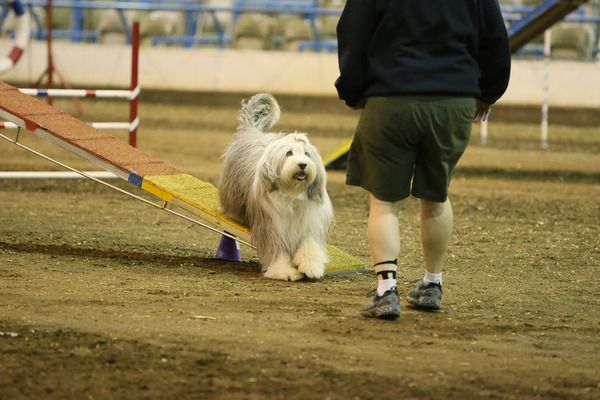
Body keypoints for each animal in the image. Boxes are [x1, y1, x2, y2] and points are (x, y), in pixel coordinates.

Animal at [218, 93, 334, 281]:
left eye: (306, 154)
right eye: (289, 153)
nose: (302, 165)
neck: (292, 194)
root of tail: (251, 131)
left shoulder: (309, 223)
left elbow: (309, 243)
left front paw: (311, 266)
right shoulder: (272, 226)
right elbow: (277, 250)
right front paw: (284, 271)